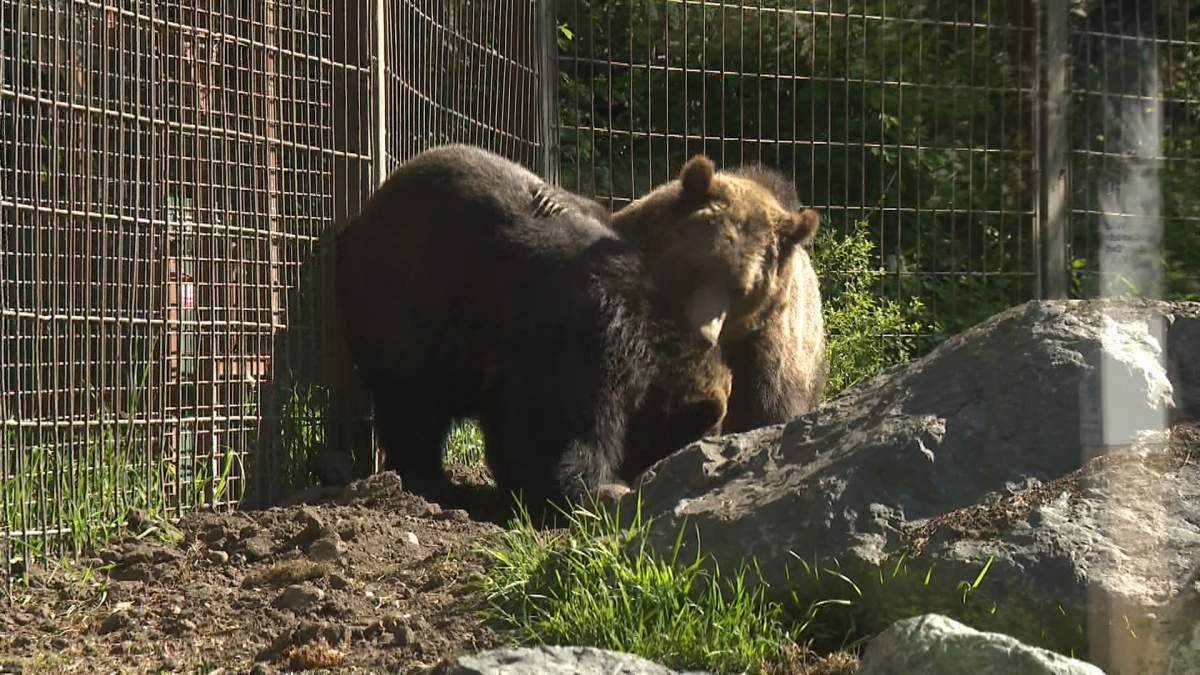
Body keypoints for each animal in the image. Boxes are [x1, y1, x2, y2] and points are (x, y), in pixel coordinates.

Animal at [333, 143, 732, 509]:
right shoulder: (574, 342)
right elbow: (554, 430)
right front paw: (593, 489)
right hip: (404, 308)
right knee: (411, 402)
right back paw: (428, 479)